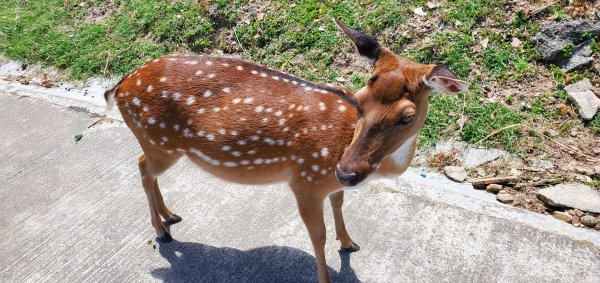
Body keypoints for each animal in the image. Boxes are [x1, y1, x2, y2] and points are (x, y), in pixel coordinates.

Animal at [104, 18, 468, 282]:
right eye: (360, 101)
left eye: (407, 116)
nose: (347, 171)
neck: (340, 144)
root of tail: (118, 87)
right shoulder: (306, 180)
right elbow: (317, 238)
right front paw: (327, 275)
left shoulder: (329, 182)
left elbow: (339, 203)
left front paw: (349, 242)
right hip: (160, 142)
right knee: (142, 167)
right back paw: (161, 232)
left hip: (163, 145)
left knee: (145, 167)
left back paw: (170, 216)